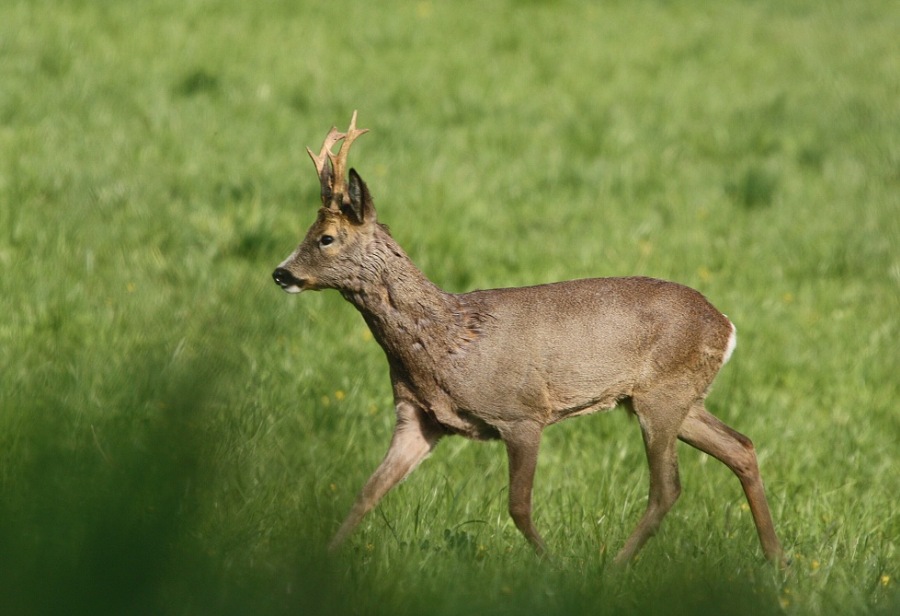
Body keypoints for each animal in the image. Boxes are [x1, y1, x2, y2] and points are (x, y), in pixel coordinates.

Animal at [272, 112, 783, 565]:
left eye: (326, 238)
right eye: (310, 231)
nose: (280, 273)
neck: (447, 342)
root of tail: (726, 325)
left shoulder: (521, 413)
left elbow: (518, 507)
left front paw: (552, 566)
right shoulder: (418, 418)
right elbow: (367, 492)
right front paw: (322, 561)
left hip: (662, 394)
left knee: (668, 487)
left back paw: (615, 567)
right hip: (677, 398)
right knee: (741, 448)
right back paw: (776, 561)